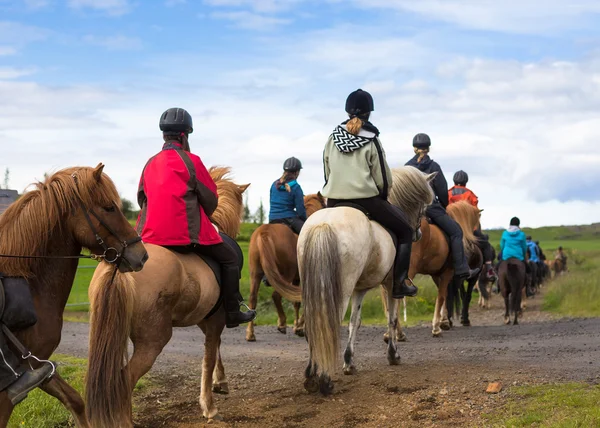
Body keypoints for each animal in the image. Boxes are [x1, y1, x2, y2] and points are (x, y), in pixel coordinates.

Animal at [0, 162, 148, 426]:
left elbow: (75, 400)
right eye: (109, 207)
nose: (141, 255)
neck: (27, 282)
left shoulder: (37, 366)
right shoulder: (10, 388)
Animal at [86, 166, 248, 426]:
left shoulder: (206, 318)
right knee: (124, 379)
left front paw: (219, 381)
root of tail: (120, 266)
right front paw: (209, 406)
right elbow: (209, 356)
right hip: (153, 340)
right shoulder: (216, 320)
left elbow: (215, 350)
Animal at [246, 192, 326, 342]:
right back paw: (282, 324)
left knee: (253, 298)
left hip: (256, 274)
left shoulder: (296, 279)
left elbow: (296, 302)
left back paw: (250, 334)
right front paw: (299, 327)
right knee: (276, 295)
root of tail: (264, 232)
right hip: (285, 274)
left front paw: (297, 326)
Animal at [298, 166, 432, 394]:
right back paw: (324, 380)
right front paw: (393, 355)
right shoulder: (390, 285)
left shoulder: (359, 290)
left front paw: (349, 362)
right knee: (329, 324)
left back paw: (311, 376)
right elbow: (392, 318)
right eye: (422, 207)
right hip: (340, 291)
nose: (418, 234)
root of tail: (323, 224)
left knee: (313, 325)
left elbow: (355, 322)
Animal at [384, 199, 482, 340]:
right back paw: (399, 333)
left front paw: (444, 321)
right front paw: (436, 327)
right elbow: (441, 296)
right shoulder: (447, 273)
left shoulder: (437, 275)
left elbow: (444, 295)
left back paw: (389, 332)